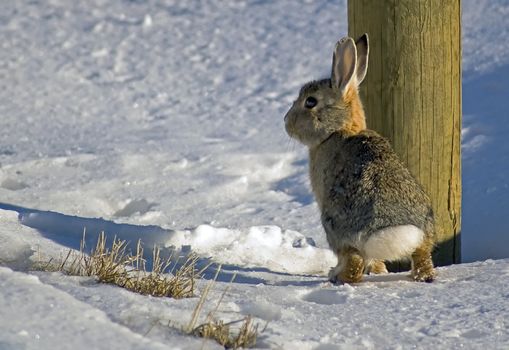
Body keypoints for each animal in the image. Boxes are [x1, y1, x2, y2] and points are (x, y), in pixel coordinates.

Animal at [284, 34, 434, 284]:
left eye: (310, 102)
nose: (286, 122)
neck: (339, 130)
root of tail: (392, 231)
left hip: (334, 224)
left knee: (353, 264)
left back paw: (335, 276)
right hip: (424, 234)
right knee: (421, 258)